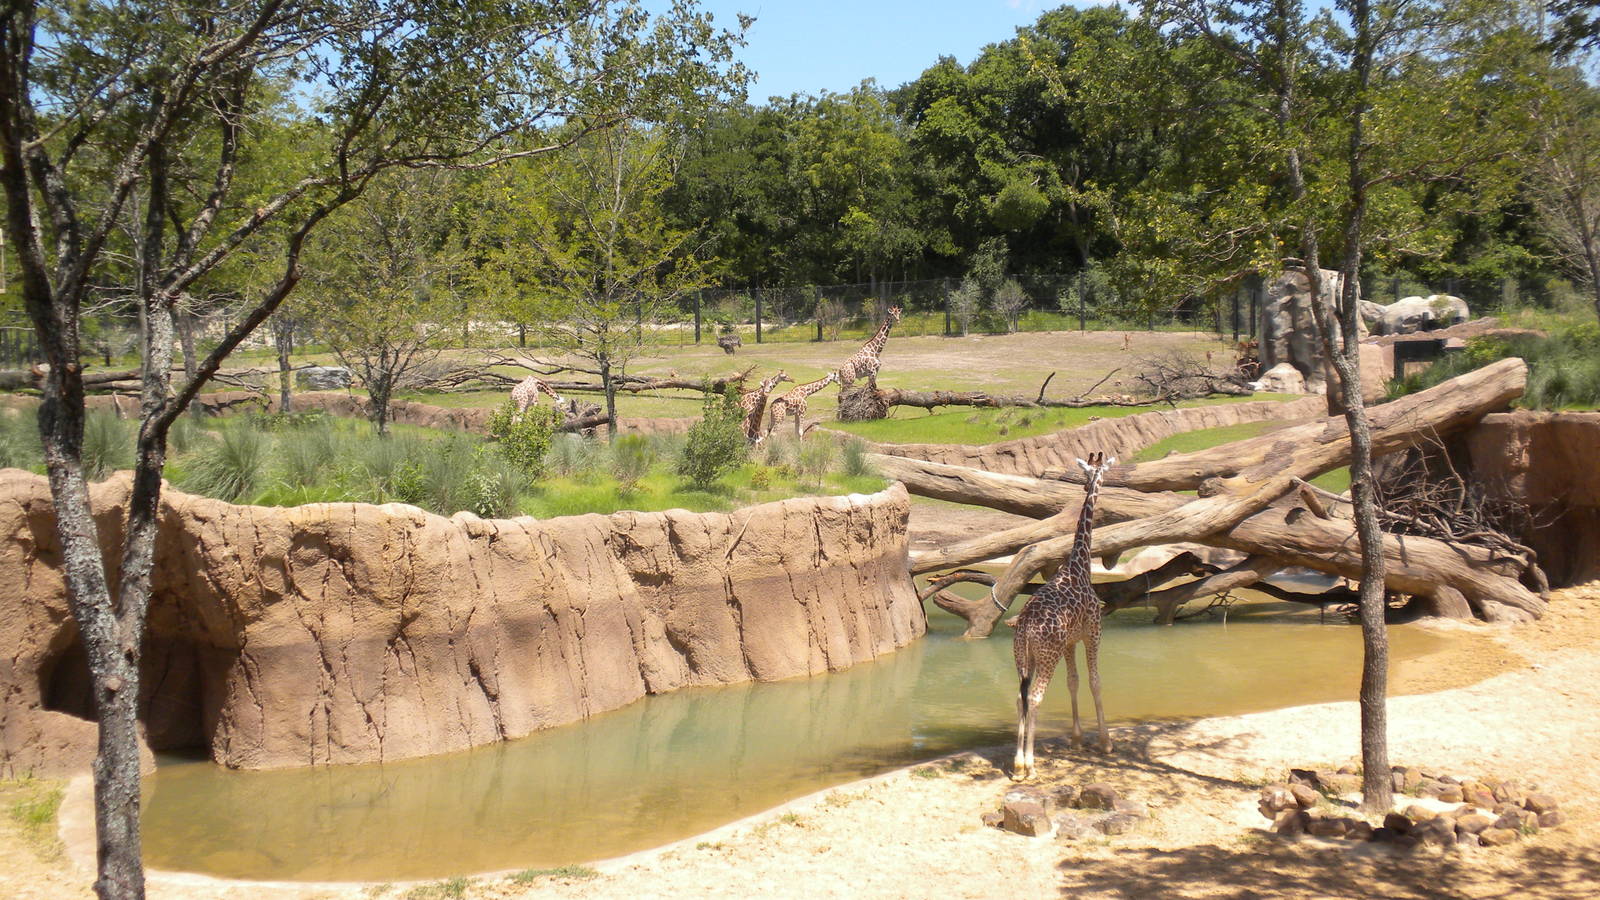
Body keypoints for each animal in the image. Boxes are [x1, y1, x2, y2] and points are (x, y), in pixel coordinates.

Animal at [1011, 451, 1117, 780]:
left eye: (1086, 474)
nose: (1089, 484)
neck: (1079, 564)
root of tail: (1025, 627)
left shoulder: (1070, 642)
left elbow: (1074, 681)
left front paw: (1077, 738)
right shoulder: (1094, 632)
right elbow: (1095, 680)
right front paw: (1105, 742)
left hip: (1023, 658)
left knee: (1020, 697)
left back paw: (1018, 765)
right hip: (1048, 655)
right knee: (1034, 697)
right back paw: (1029, 766)